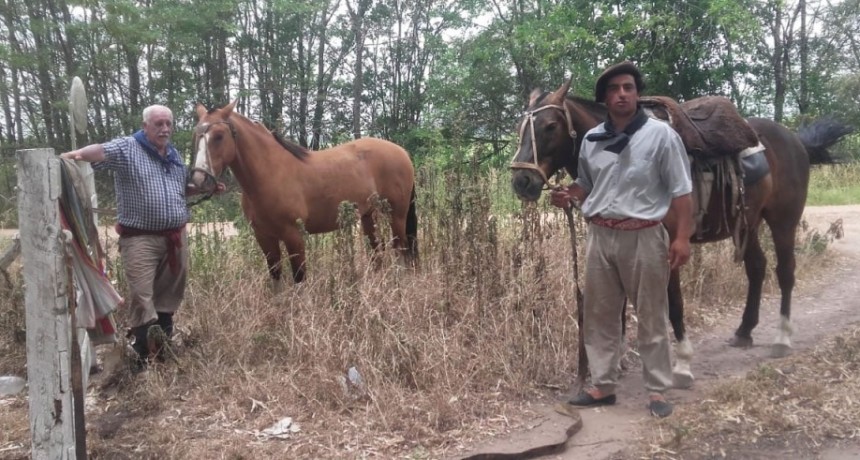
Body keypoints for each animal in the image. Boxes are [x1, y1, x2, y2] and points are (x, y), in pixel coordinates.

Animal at [188, 101, 418, 285]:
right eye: (196, 136)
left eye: (219, 136)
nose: (200, 179)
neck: (270, 172)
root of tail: (402, 152)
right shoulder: (264, 237)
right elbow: (276, 278)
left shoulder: (294, 236)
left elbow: (300, 278)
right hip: (369, 216)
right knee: (377, 252)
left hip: (397, 215)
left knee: (401, 250)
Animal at [510, 79, 852, 389]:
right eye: (521, 128)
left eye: (551, 126)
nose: (521, 181)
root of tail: (795, 140)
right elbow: (619, 302)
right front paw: (616, 360)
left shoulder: (665, 245)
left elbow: (673, 303)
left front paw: (683, 364)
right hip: (748, 223)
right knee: (757, 268)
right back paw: (744, 331)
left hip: (783, 221)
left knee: (785, 272)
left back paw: (782, 337)